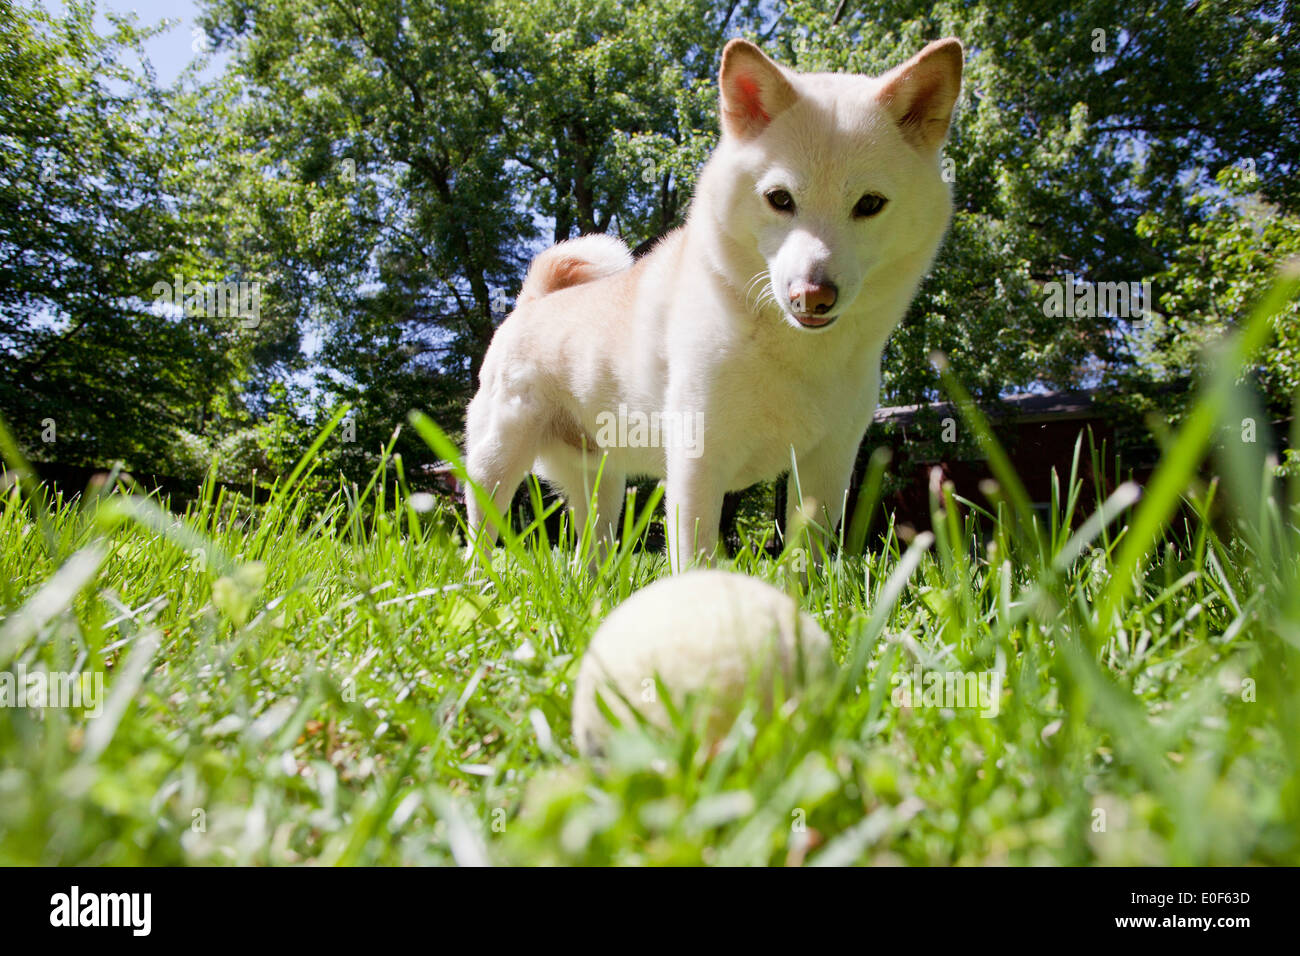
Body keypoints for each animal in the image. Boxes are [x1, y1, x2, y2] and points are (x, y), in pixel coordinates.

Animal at [462, 37, 961, 567]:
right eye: (779, 198)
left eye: (869, 204)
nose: (813, 295)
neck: (795, 352)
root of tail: (533, 301)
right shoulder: (697, 462)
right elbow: (694, 557)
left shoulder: (827, 467)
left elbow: (808, 562)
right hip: (495, 463)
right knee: (479, 538)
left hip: (599, 482)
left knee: (589, 555)